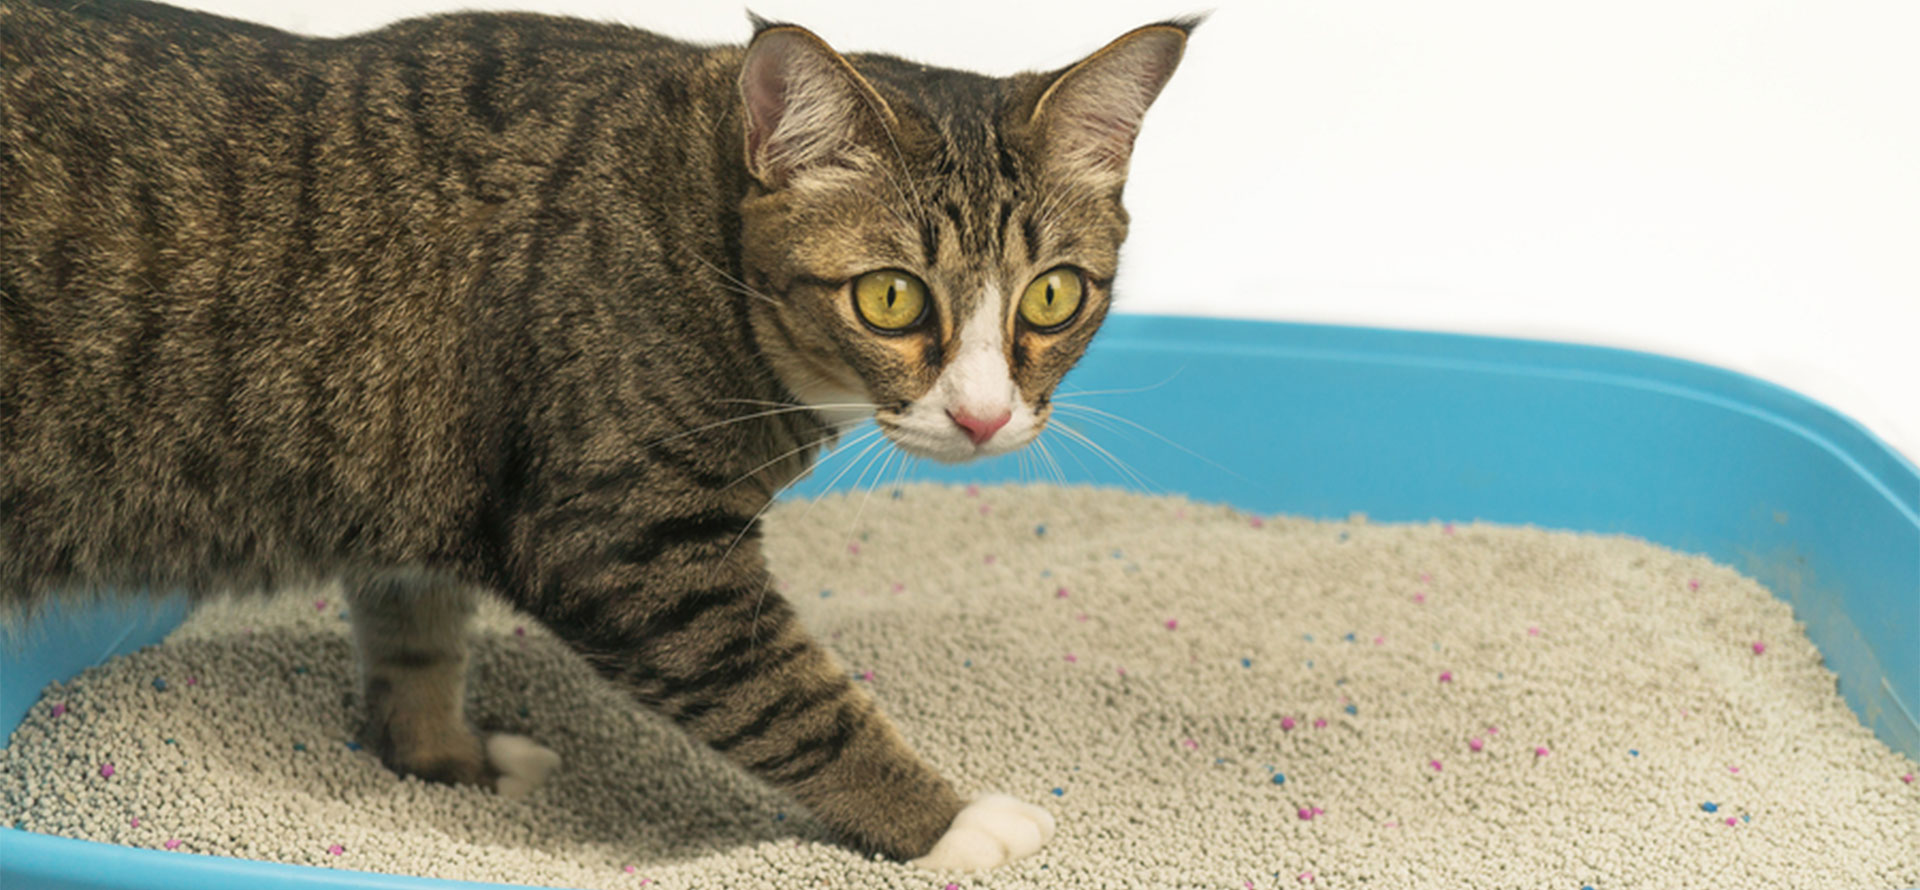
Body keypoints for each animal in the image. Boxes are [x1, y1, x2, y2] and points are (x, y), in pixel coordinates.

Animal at [0, 0, 1190, 870]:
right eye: (891, 298)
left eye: (1053, 297)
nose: (985, 414)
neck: (692, 223)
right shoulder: (629, 544)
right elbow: (796, 697)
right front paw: (947, 823)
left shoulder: (418, 487)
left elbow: (415, 633)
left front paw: (441, 758)